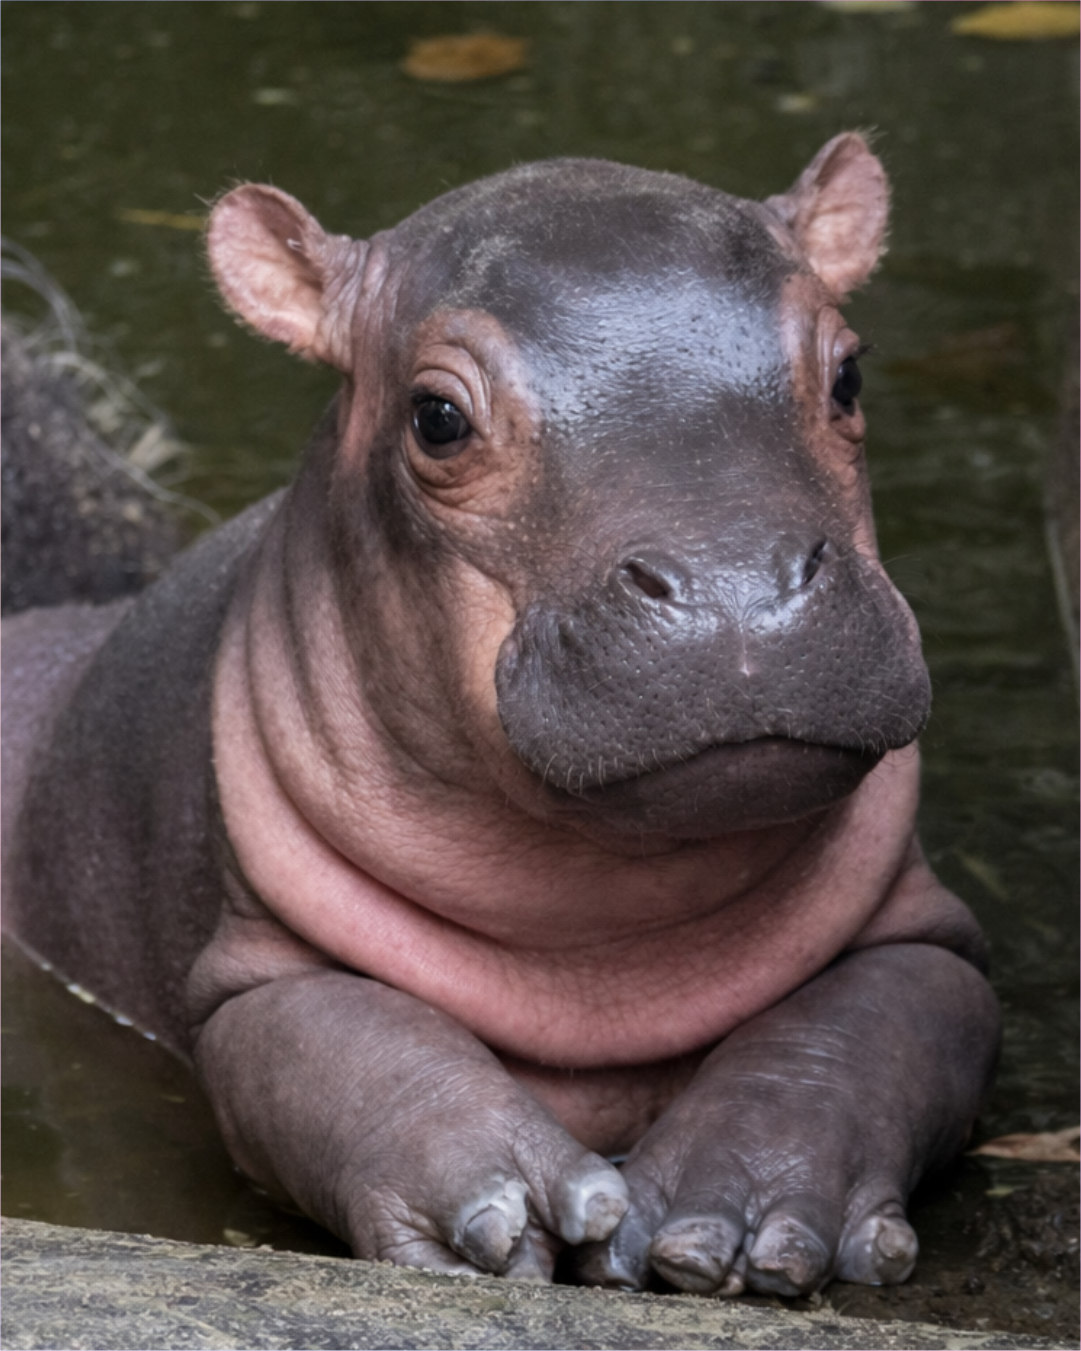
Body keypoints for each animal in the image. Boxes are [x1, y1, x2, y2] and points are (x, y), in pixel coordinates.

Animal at [1, 133, 1000, 1297]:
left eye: (848, 371)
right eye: (435, 416)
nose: (736, 589)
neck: (599, 944)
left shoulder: (927, 940)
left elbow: (855, 1034)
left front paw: (744, 1205)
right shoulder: (254, 971)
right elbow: (348, 1048)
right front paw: (498, 1207)